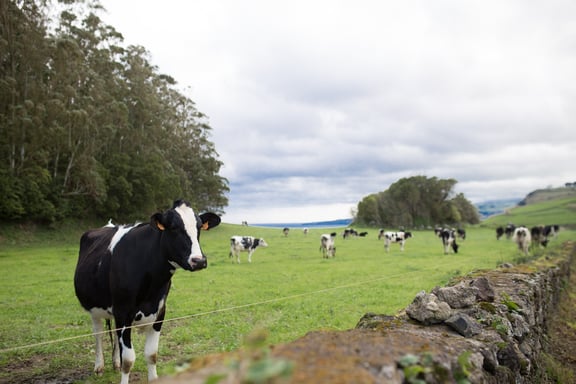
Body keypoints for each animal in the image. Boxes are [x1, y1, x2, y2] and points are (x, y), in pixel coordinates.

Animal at [73, 200, 220, 382]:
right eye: (173, 227)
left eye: (199, 227)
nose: (199, 261)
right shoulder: (123, 312)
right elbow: (128, 360)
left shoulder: (160, 312)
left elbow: (151, 354)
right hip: (95, 308)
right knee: (98, 334)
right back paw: (99, 366)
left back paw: (115, 363)